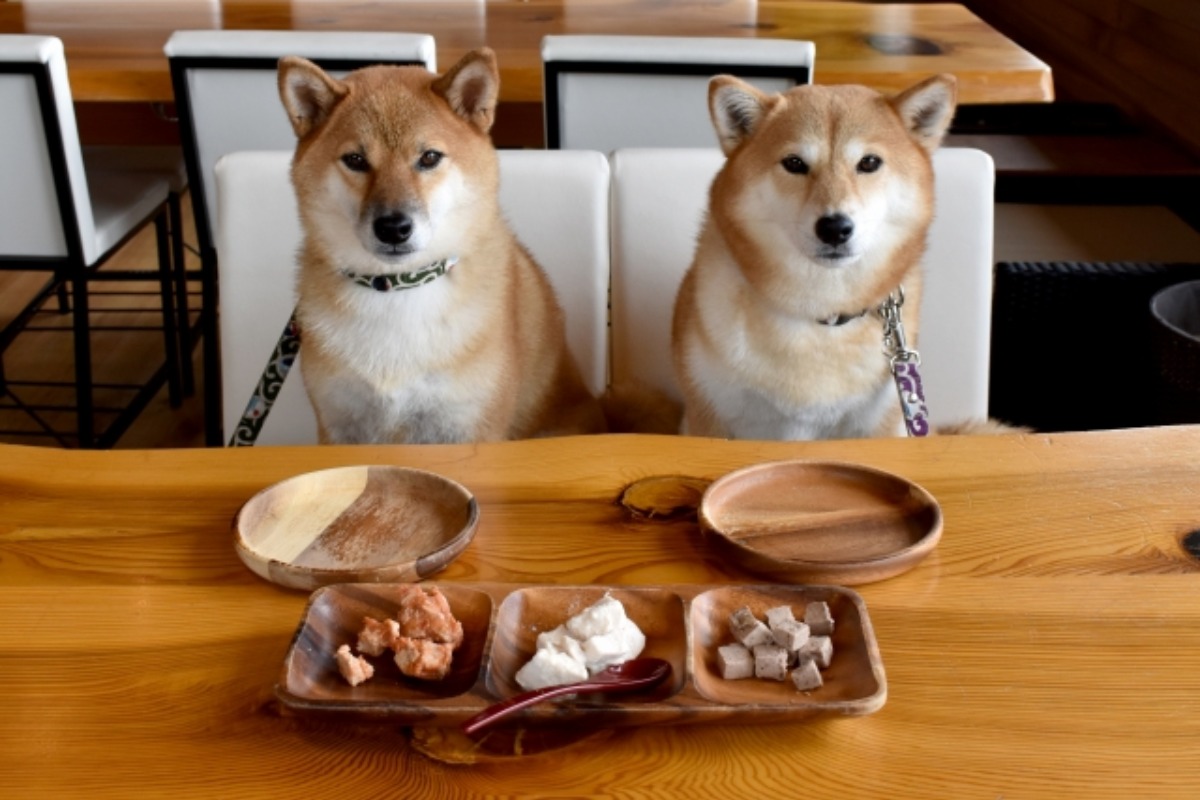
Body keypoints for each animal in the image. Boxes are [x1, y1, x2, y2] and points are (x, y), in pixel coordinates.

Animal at [276, 50, 604, 443]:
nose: (393, 228)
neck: (398, 289)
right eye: (355, 160)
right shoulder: (339, 425)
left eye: (429, 157)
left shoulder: (467, 426)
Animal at [672, 72, 960, 441]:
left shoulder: (880, 425)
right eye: (794, 163)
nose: (835, 227)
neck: (819, 313)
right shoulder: (709, 417)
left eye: (869, 163)